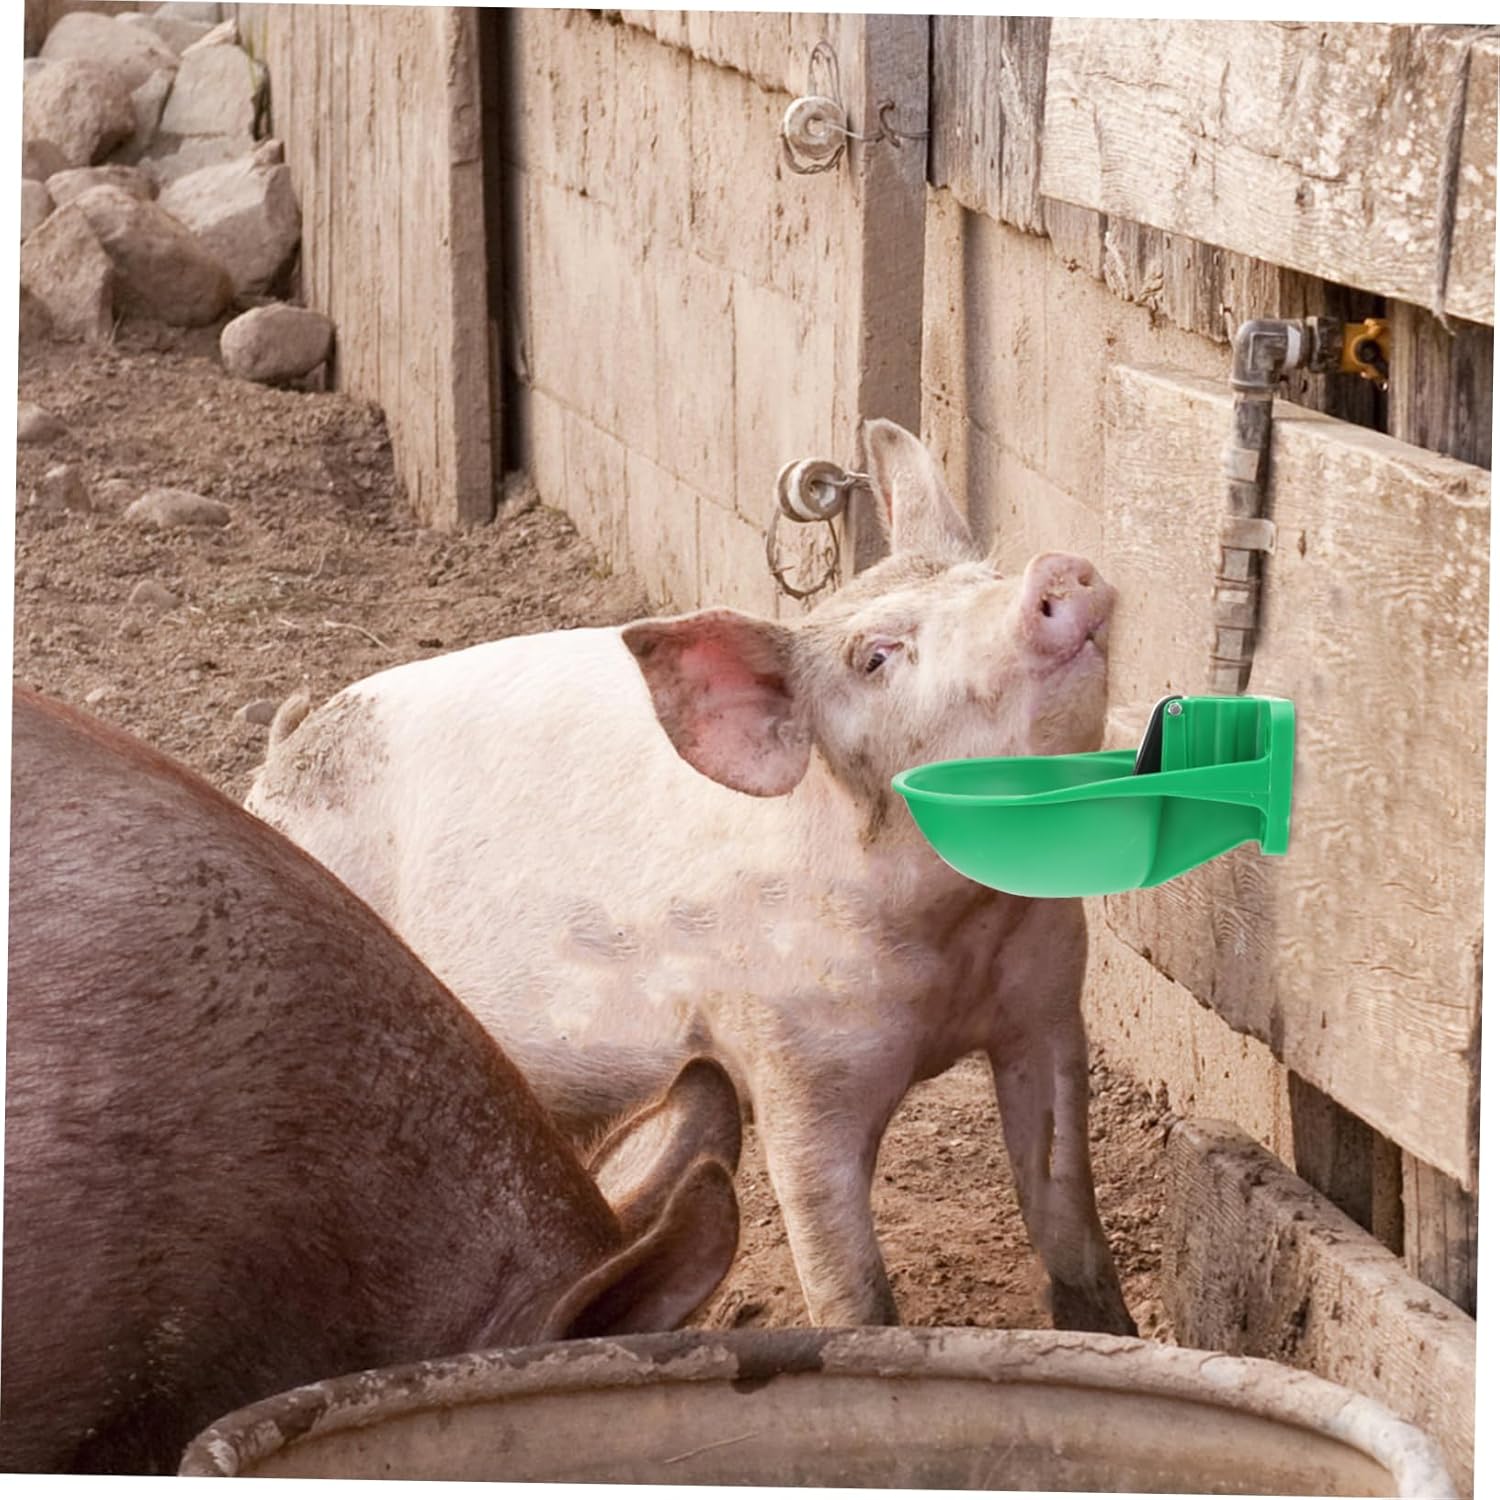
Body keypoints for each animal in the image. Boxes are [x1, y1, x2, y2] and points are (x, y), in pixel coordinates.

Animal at [246, 419, 1135, 1335]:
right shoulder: (791, 1067)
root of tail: (282, 752)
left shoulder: (1046, 1003)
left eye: (986, 577)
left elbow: (1067, 1214)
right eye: (876, 657)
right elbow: (846, 1278)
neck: (957, 931)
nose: (1055, 571)